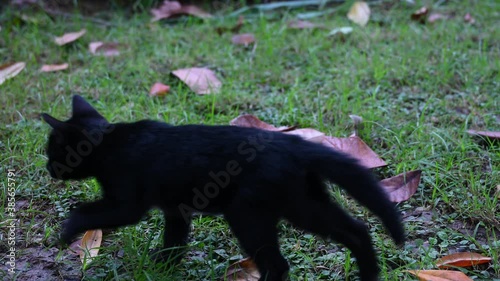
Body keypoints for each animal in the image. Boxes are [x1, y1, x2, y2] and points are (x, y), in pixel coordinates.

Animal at [41, 94, 404, 280]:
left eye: (52, 150)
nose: (47, 168)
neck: (112, 144)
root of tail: (294, 144)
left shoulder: (126, 204)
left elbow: (86, 212)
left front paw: (66, 232)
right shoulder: (175, 209)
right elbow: (175, 241)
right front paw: (163, 268)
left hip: (252, 214)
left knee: (278, 264)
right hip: (305, 202)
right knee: (356, 229)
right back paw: (369, 275)